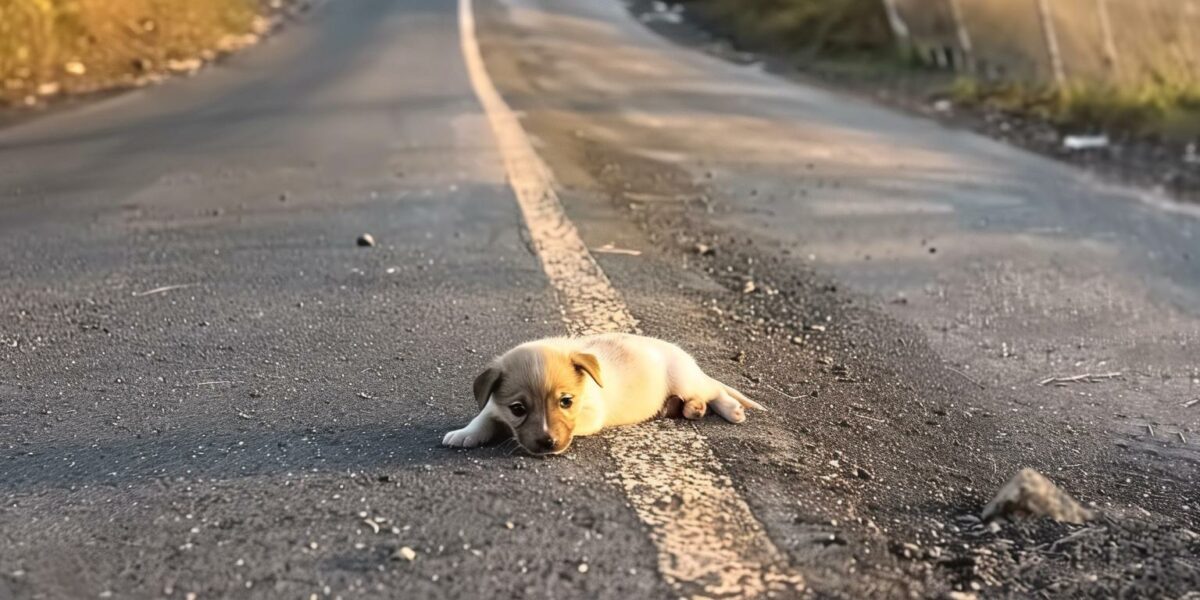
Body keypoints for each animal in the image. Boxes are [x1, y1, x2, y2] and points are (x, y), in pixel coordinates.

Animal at [439, 333, 758, 453]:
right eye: (518, 409)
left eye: (566, 402)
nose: (548, 443)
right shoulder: (495, 407)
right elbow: (484, 418)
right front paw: (465, 433)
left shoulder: (592, 415)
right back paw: (693, 408)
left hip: (685, 379)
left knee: (715, 389)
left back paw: (731, 410)